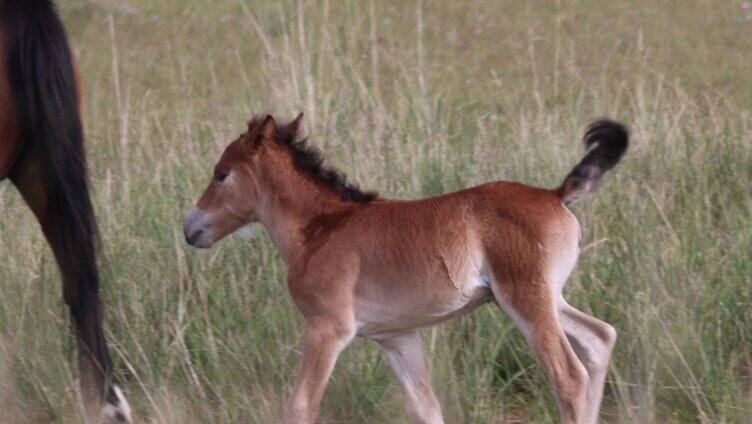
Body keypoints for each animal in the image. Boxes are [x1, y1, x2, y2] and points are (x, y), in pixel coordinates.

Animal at [184, 113, 628, 424]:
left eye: (221, 173)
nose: (191, 227)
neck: (322, 227)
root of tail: (556, 195)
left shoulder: (328, 330)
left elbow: (300, 407)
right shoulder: (397, 338)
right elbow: (427, 410)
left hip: (527, 299)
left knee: (569, 377)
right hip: (543, 299)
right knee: (599, 337)